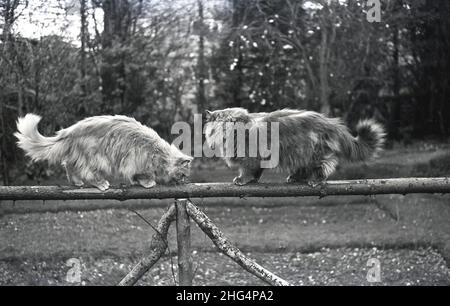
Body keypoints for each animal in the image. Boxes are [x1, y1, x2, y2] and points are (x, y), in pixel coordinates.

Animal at [13, 113, 193, 190]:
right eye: (184, 175)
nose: (185, 181)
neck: (159, 153)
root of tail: (69, 131)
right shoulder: (135, 161)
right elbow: (141, 175)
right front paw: (148, 182)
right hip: (95, 159)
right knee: (87, 174)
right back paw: (101, 184)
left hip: (78, 158)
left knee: (69, 166)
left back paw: (76, 183)